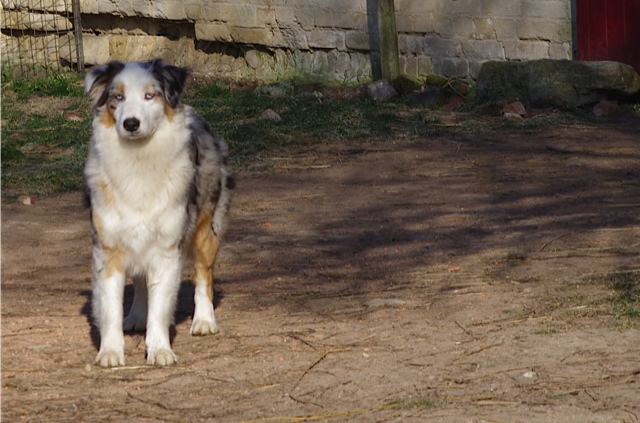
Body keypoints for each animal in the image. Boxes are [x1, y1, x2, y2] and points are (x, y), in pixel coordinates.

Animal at [84, 59, 234, 367]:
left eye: (149, 95)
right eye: (118, 97)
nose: (131, 123)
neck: (138, 160)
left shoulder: (166, 250)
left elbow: (161, 308)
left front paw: (160, 350)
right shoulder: (108, 249)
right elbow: (110, 308)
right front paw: (110, 352)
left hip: (206, 227)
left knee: (204, 274)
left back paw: (204, 320)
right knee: (141, 280)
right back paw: (136, 316)